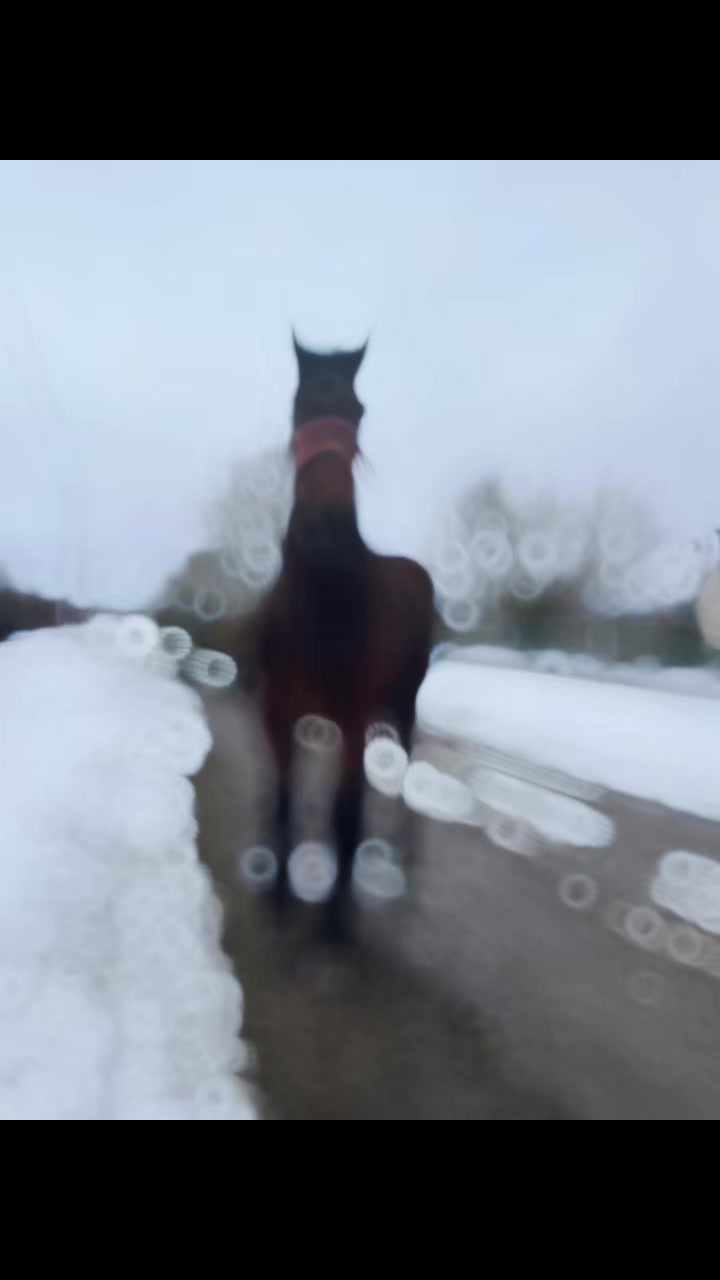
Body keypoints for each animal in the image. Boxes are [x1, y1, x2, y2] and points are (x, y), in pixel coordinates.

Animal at [257, 338, 435, 941]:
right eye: (299, 406)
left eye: (357, 411)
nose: (327, 529)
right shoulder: (278, 714)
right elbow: (283, 800)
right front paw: (278, 894)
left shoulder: (355, 721)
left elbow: (346, 816)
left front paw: (335, 923)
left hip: (402, 702)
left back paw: (398, 850)